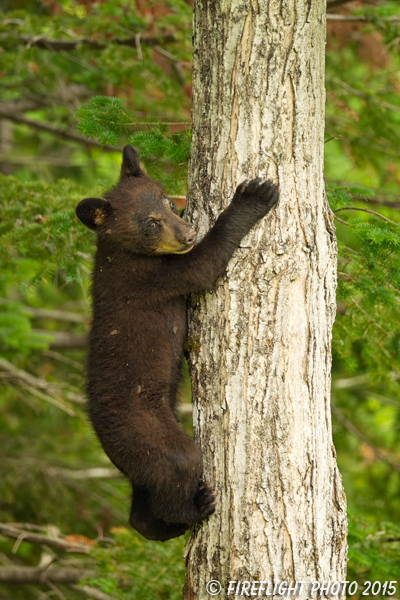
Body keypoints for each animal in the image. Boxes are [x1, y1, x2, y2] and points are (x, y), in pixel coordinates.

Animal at [76, 146, 280, 544]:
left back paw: (156, 524)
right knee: (179, 464)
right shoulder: (150, 277)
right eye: (151, 223)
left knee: (143, 500)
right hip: (147, 433)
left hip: (140, 460)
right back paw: (194, 508)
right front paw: (254, 195)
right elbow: (203, 265)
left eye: (169, 203)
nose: (188, 233)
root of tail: (99, 435)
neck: (120, 251)